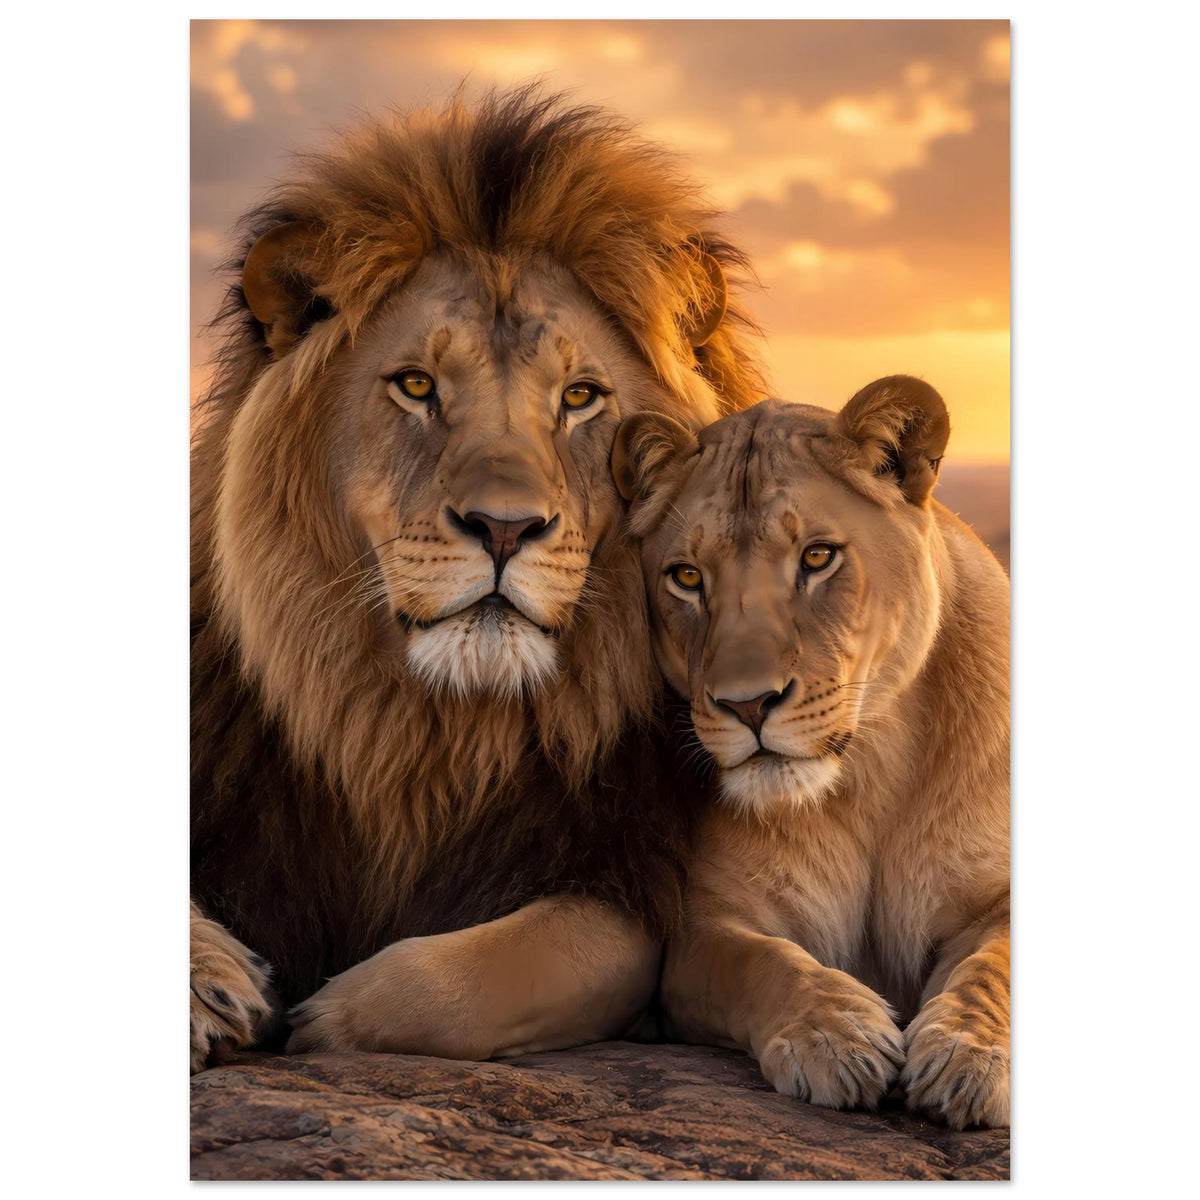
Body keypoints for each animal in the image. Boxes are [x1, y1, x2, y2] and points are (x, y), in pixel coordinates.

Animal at [190, 87, 768, 1073]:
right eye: (417, 386)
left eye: (580, 398)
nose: (505, 528)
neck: (421, 740)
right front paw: (213, 988)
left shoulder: (622, 878)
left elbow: (476, 979)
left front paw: (322, 1016)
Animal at [611, 377, 1010, 1129]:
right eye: (686, 577)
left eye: (818, 558)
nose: (746, 705)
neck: (870, 773)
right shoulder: (702, 930)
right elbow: (763, 964)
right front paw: (836, 1035)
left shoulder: (996, 896)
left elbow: (993, 964)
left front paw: (969, 1054)